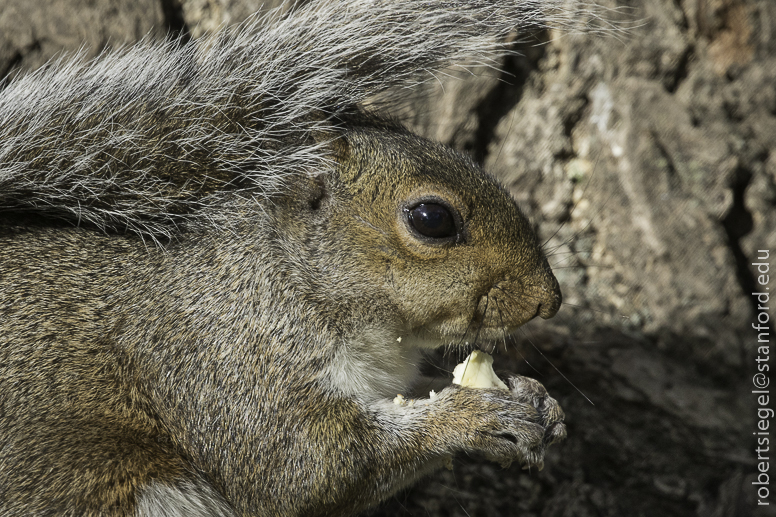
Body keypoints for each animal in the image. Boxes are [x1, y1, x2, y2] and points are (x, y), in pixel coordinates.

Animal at [0, 1, 577, 515]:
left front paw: (535, 397)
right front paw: (470, 416)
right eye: (431, 218)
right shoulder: (224, 357)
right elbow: (305, 467)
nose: (548, 301)